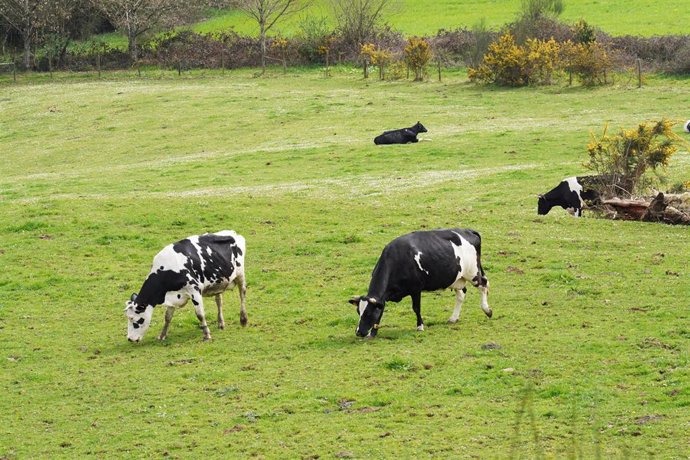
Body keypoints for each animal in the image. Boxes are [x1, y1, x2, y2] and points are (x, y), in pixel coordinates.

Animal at [350, 229, 490, 338]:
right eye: (358, 311)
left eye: (368, 313)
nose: (359, 332)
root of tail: (468, 230)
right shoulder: (384, 298)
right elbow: (381, 310)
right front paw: (373, 333)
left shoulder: (416, 288)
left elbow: (416, 308)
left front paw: (420, 326)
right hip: (457, 277)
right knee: (461, 293)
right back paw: (453, 318)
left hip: (472, 272)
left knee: (483, 284)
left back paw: (487, 310)